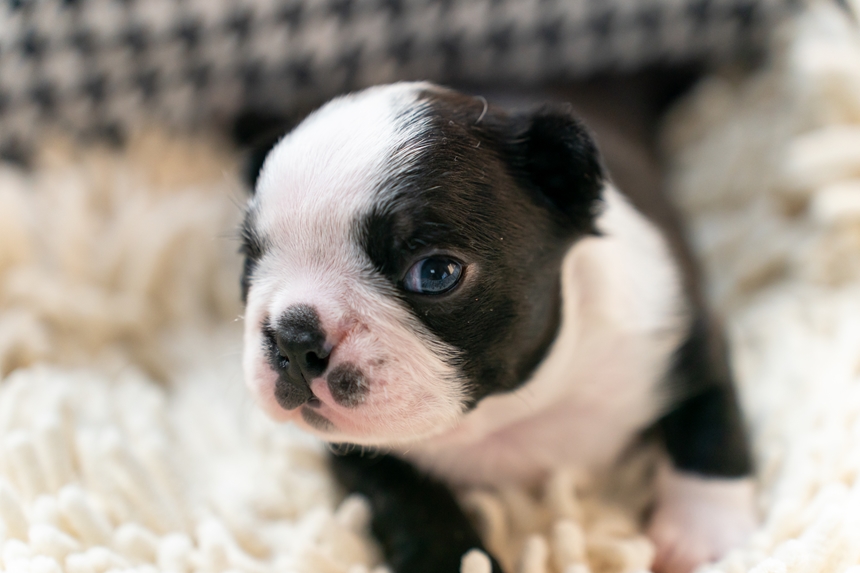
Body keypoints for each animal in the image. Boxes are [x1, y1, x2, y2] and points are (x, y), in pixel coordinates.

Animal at [239, 80, 756, 572]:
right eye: (249, 261)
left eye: (435, 273)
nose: (294, 337)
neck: (504, 413)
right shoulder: (357, 450)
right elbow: (411, 505)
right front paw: (456, 560)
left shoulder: (679, 333)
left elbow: (713, 425)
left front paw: (702, 533)